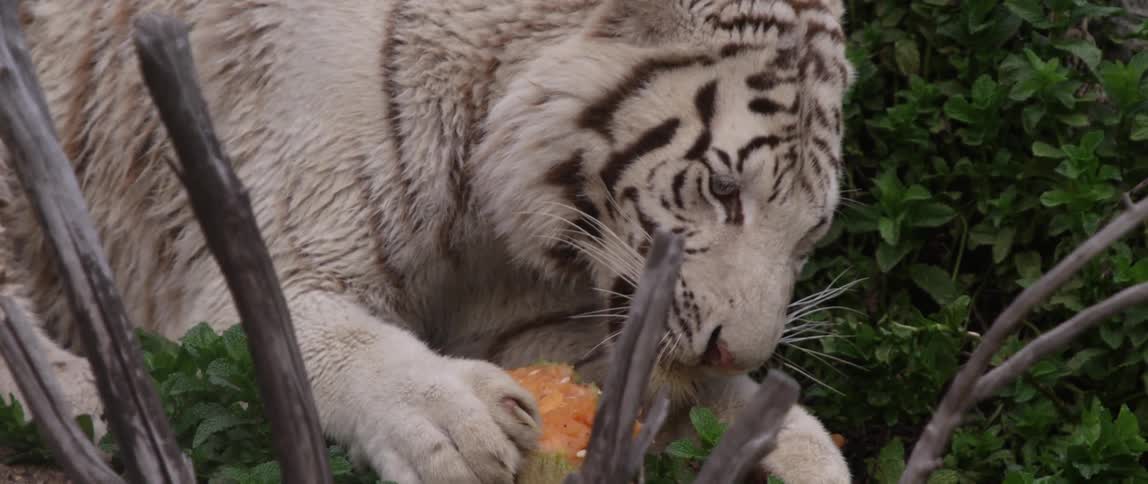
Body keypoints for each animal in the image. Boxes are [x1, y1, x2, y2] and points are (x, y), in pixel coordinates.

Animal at [0, 0, 855, 482]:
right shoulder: (264, 251)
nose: (734, 353)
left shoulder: (542, 311)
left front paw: (784, 448)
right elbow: (332, 340)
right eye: (723, 189)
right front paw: (459, 423)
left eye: (810, 231)